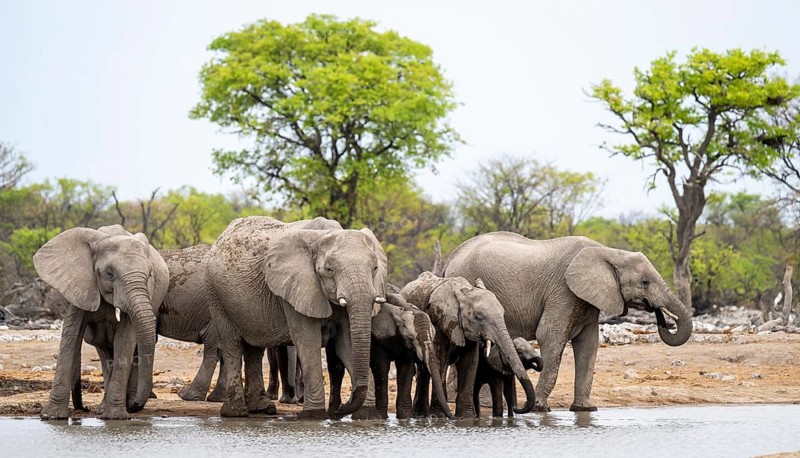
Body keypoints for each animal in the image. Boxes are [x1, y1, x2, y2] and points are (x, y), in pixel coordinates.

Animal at [32, 225, 169, 420]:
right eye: (110, 274)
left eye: (150, 275)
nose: (84, 408)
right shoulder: (82, 286)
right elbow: (70, 337)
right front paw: (52, 417)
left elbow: (124, 341)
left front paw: (115, 417)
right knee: (106, 353)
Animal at [206, 216, 387, 419]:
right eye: (329, 270)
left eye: (375, 268)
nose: (339, 410)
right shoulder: (295, 289)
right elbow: (309, 343)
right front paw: (312, 416)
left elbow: (346, 345)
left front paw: (367, 416)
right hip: (216, 296)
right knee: (232, 345)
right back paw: (236, 412)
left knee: (254, 348)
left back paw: (262, 408)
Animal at [400, 272, 536, 418]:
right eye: (478, 317)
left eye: (503, 314)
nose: (517, 408)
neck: (464, 291)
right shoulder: (438, 321)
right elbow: (440, 360)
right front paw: (439, 417)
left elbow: (470, 363)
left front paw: (466, 417)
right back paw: (421, 414)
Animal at [444, 233, 693, 412]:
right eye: (644, 282)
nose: (661, 316)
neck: (608, 252)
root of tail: (450, 259)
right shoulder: (563, 291)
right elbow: (550, 336)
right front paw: (540, 409)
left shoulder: (587, 299)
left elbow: (589, 344)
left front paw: (585, 409)